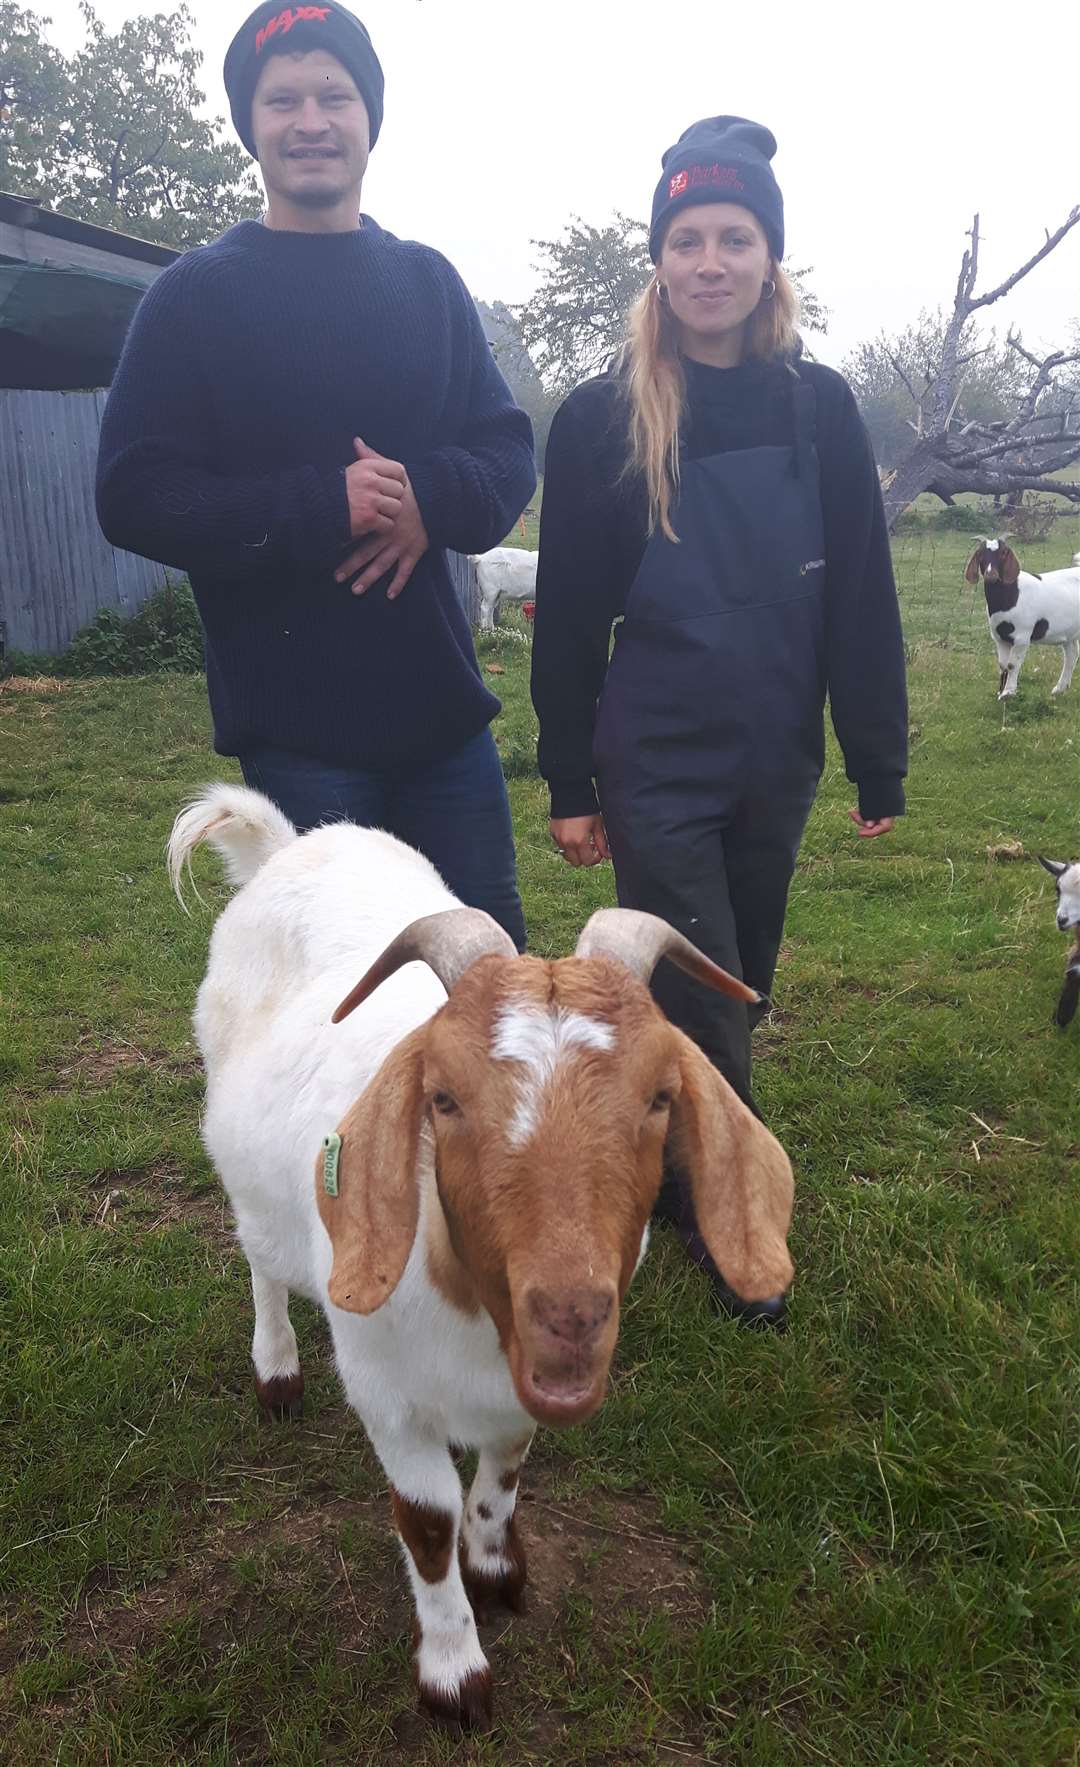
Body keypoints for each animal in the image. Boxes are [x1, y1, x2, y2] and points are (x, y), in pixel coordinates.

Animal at [167, 784, 795, 1724]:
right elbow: (425, 1521)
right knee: (261, 1264)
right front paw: (454, 1672)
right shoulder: (387, 1391)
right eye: (444, 1098)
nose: (570, 1316)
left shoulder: (518, 1386)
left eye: (660, 1097)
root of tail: (289, 843)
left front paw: (498, 1570)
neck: (464, 1304)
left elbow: (504, 1471)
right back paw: (275, 1370)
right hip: (244, 1175)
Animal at [968, 540, 1080, 699]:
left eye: (1003, 553)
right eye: (980, 554)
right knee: (1072, 654)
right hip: (1069, 630)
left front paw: (1008, 692)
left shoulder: (1022, 636)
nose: (991, 575)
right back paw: (1059, 689)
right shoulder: (999, 637)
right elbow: (1002, 665)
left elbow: (1012, 665)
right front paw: (1000, 692)